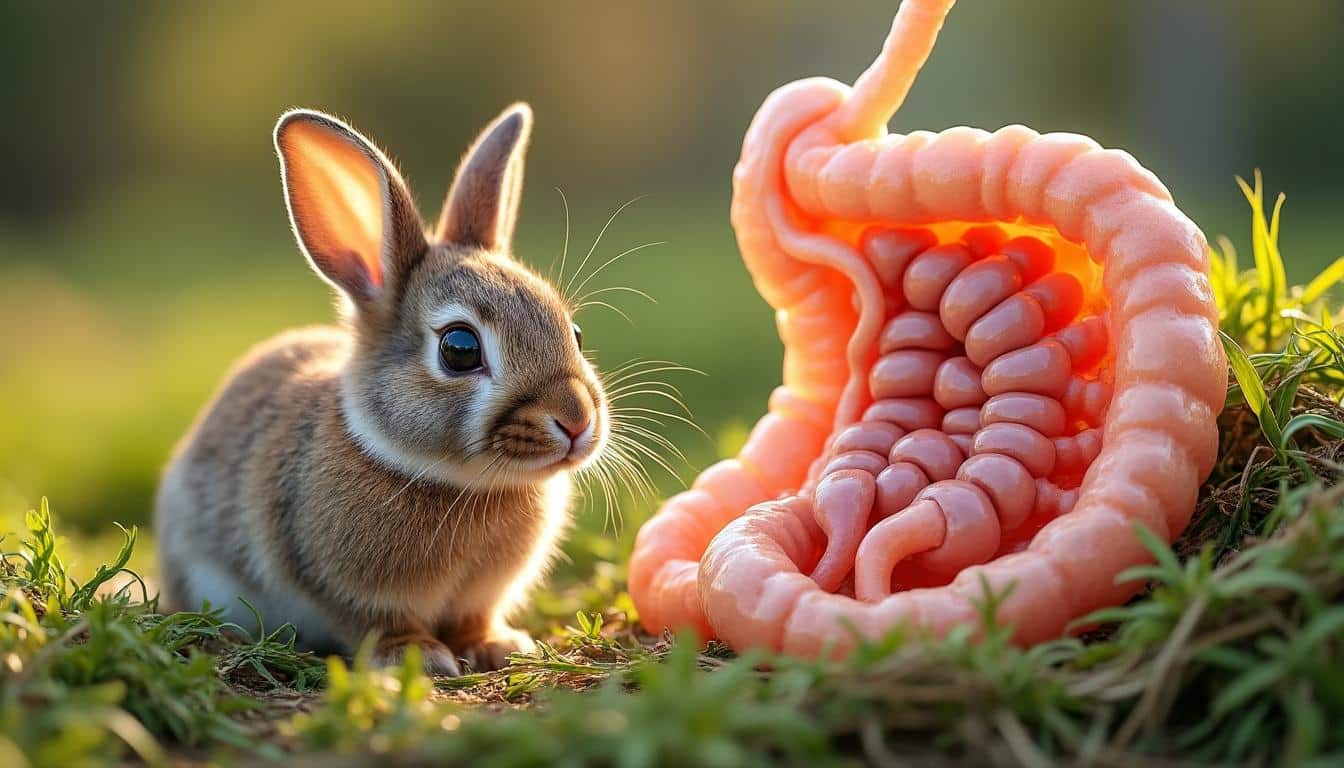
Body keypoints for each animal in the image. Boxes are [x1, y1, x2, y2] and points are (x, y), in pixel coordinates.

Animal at [154, 103, 607, 675]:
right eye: (460, 349)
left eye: (575, 332)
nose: (576, 420)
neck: (459, 482)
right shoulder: (341, 588)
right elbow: (378, 623)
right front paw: (419, 657)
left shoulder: (479, 597)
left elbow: (474, 619)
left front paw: (499, 646)